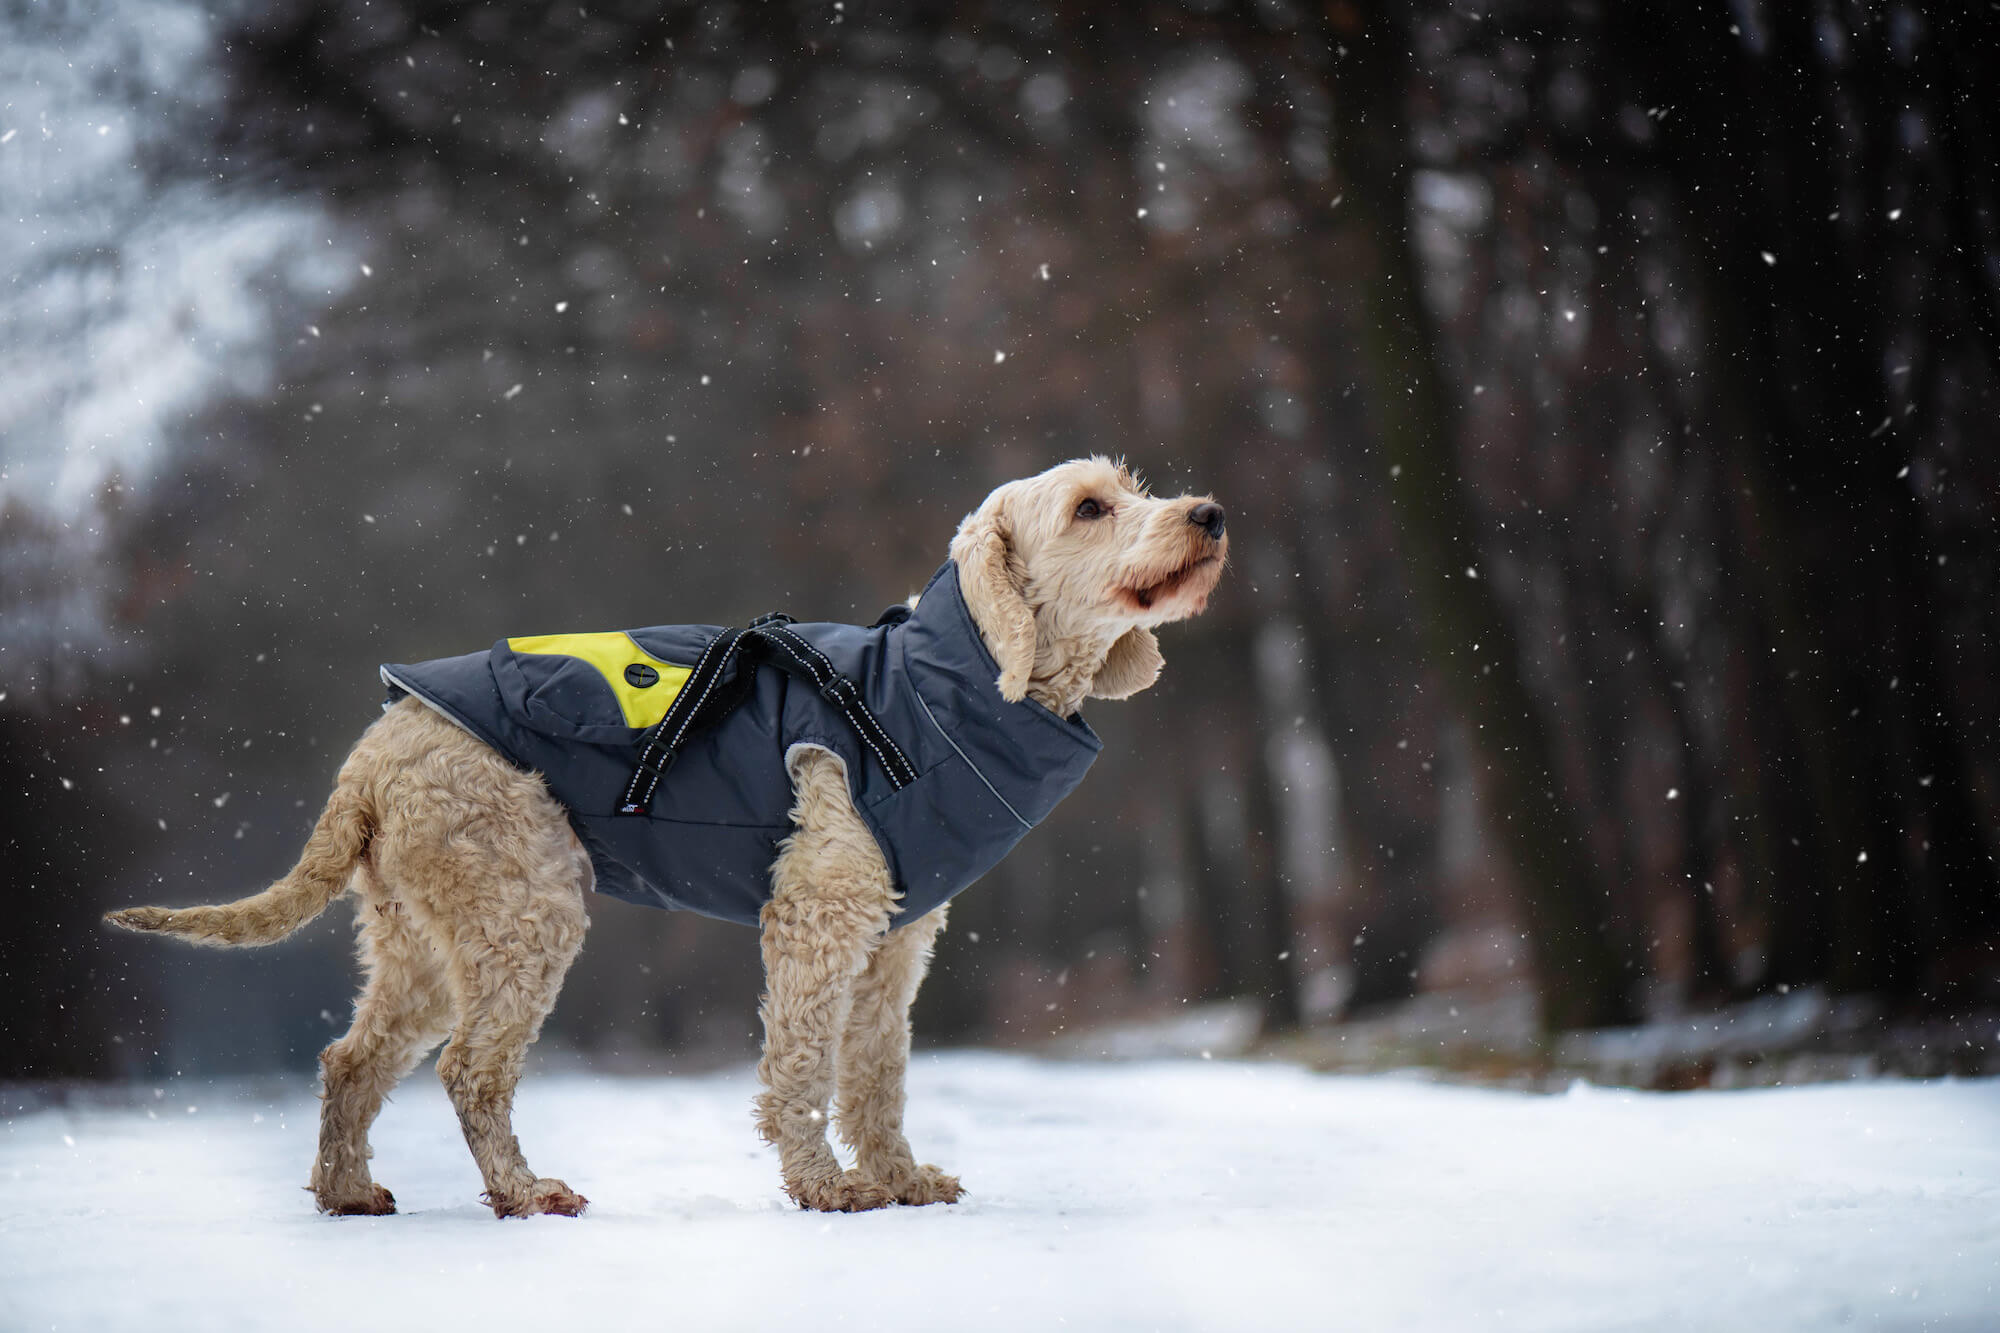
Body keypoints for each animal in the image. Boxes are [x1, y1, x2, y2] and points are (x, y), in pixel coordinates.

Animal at [109, 456, 1232, 1216]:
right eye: (1089, 506)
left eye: (1132, 487)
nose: (1211, 513)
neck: (935, 686)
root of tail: (374, 753)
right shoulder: (820, 916)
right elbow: (800, 1069)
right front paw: (825, 1187)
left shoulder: (894, 943)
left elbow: (875, 1076)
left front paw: (900, 1176)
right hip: (523, 910)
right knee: (469, 1068)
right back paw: (526, 1191)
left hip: (424, 935)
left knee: (351, 1058)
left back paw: (347, 1191)